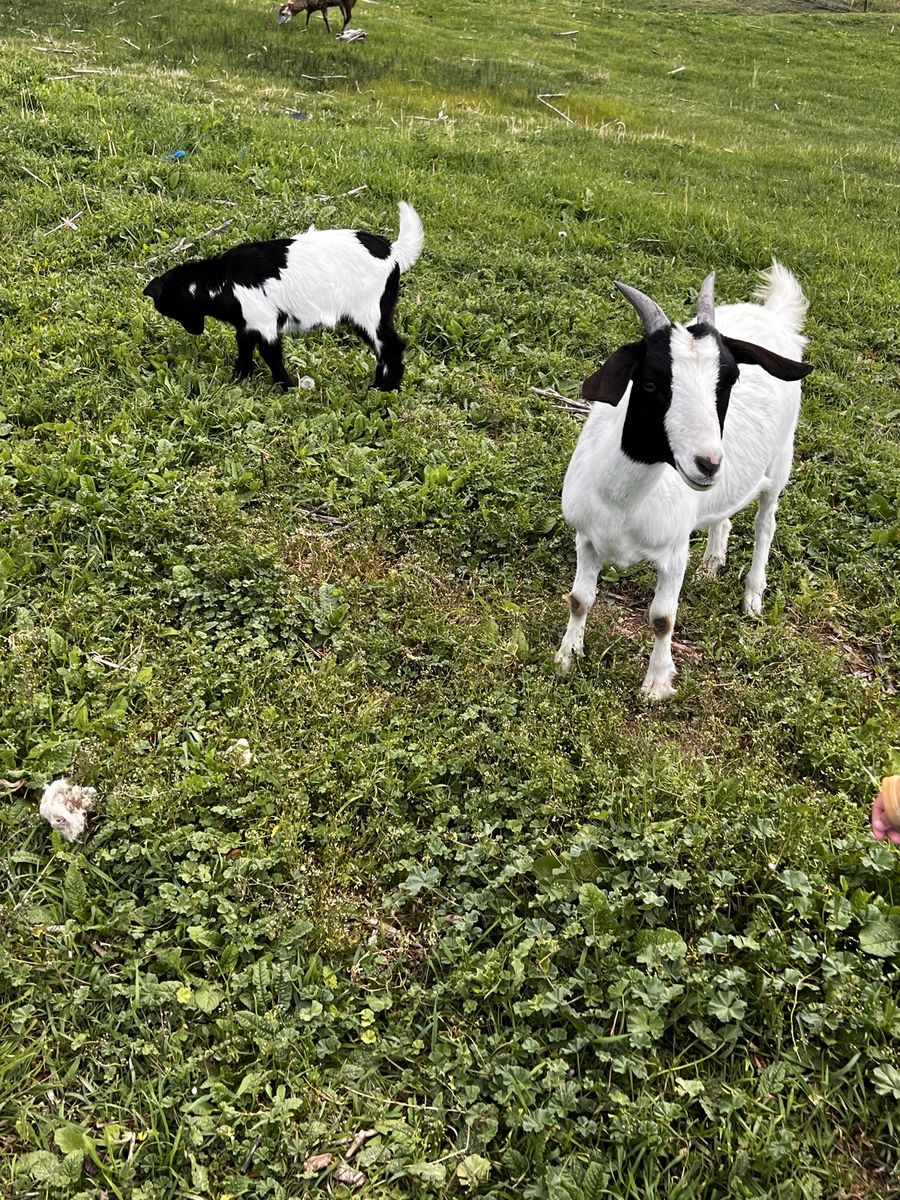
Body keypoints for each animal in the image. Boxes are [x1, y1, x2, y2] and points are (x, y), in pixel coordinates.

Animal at [143, 201, 424, 392]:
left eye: (171, 307)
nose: (195, 331)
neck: (220, 280)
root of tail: (393, 251)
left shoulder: (264, 322)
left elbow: (271, 354)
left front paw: (285, 386)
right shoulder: (247, 325)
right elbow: (244, 349)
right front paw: (239, 379)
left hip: (370, 312)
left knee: (391, 346)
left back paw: (385, 389)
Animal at [555, 262, 814, 700]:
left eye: (730, 380)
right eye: (649, 383)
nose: (708, 463)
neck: (623, 503)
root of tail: (771, 316)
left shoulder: (673, 553)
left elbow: (662, 618)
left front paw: (657, 683)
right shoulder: (586, 538)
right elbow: (579, 600)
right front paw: (567, 656)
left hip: (781, 461)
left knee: (766, 523)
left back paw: (752, 597)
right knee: (723, 516)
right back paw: (711, 565)